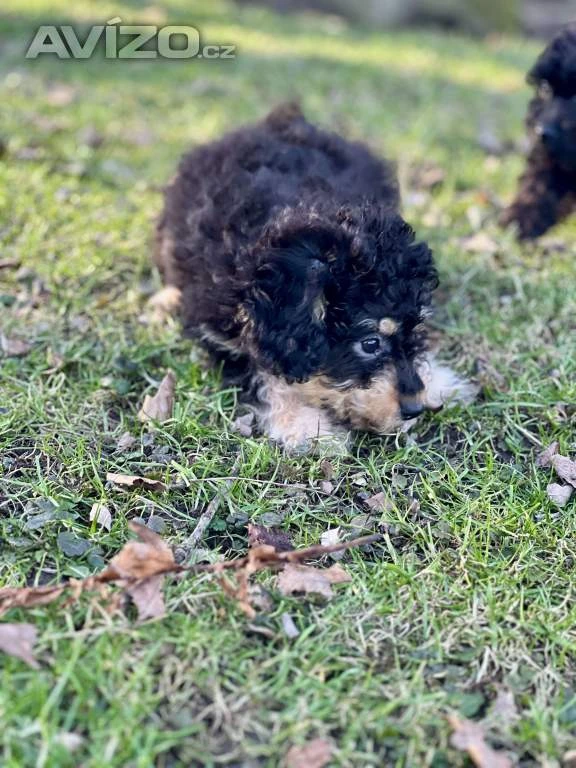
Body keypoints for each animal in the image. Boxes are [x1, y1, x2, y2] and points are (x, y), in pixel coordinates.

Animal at [154, 104, 475, 451]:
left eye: (416, 327)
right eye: (370, 343)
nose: (414, 408)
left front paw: (436, 380)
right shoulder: (220, 334)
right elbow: (264, 375)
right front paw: (306, 425)